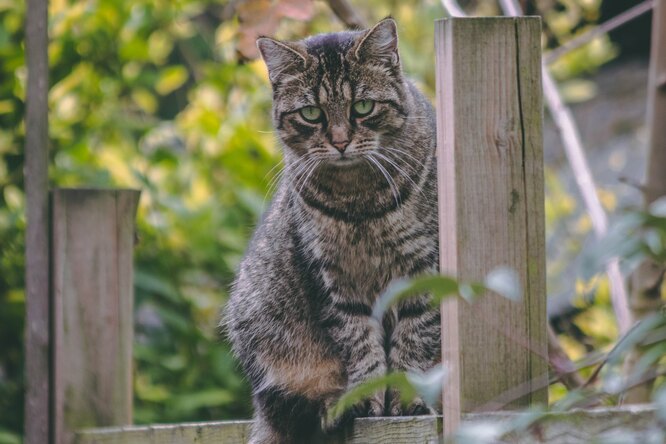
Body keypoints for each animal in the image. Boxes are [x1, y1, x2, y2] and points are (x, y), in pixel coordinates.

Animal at [226, 18, 438, 444]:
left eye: (362, 107)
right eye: (311, 113)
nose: (340, 141)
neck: (359, 203)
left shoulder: (424, 264)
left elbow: (416, 334)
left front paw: (408, 400)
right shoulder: (331, 278)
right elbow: (358, 342)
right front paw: (367, 400)